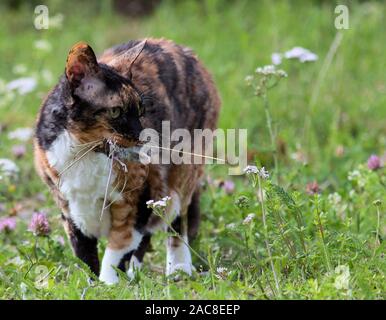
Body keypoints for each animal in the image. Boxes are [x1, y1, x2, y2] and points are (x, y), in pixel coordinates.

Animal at [34, 38, 220, 284]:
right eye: (115, 111)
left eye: (141, 109)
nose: (143, 136)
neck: (85, 153)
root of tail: (185, 51)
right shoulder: (69, 208)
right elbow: (84, 252)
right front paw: (92, 284)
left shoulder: (143, 194)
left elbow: (119, 246)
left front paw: (109, 284)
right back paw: (135, 271)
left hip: (182, 173)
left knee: (177, 220)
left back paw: (178, 268)